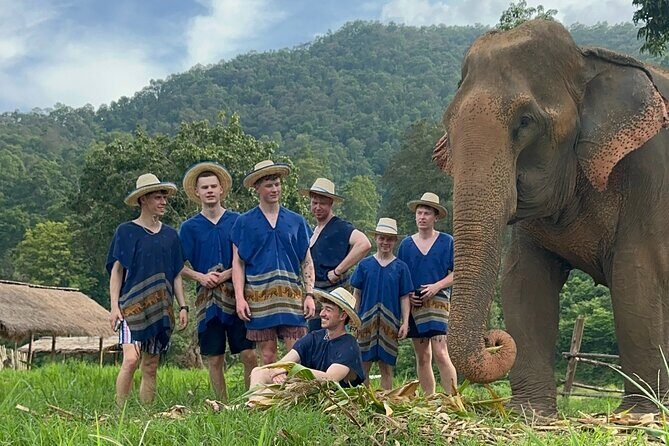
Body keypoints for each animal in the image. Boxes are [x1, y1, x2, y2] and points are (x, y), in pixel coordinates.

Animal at [433, 19, 669, 415]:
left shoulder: (650, 172)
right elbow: (524, 280)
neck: (587, 61)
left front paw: (640, 415)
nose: (494, 338)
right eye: (448, 126)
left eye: (525, 121)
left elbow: (636, 276)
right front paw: (530, 413)